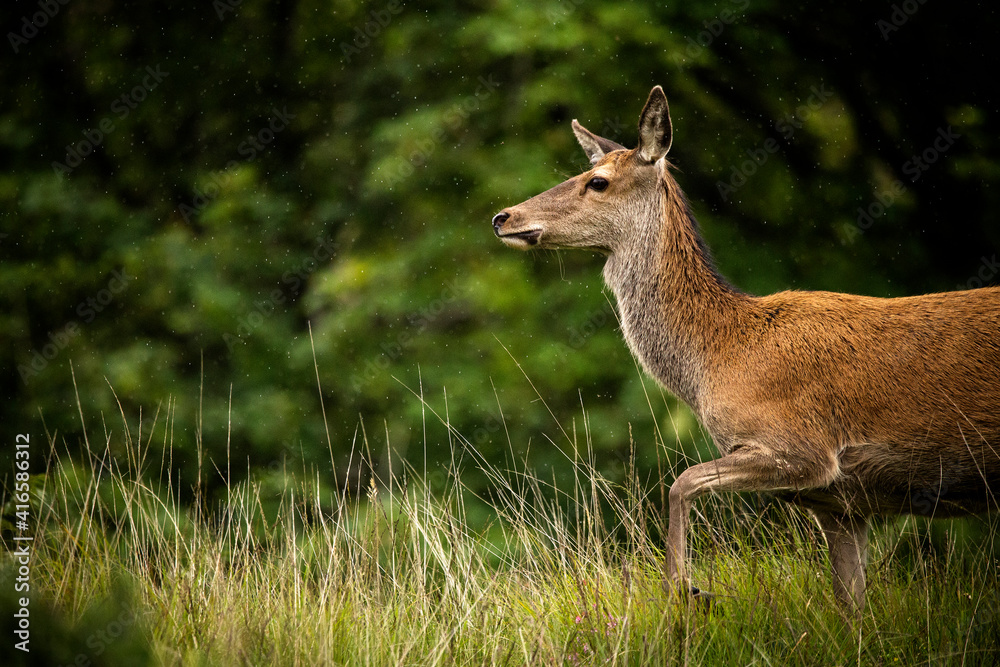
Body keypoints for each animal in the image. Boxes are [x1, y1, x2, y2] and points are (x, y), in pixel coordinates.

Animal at [490, 86, 1000, 612]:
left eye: (598, 181)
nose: (502, 217)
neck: (722, 355)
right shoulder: (840, 504)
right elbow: (851, 608)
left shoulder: (802, 446)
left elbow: (681, 482)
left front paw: (686, 588)